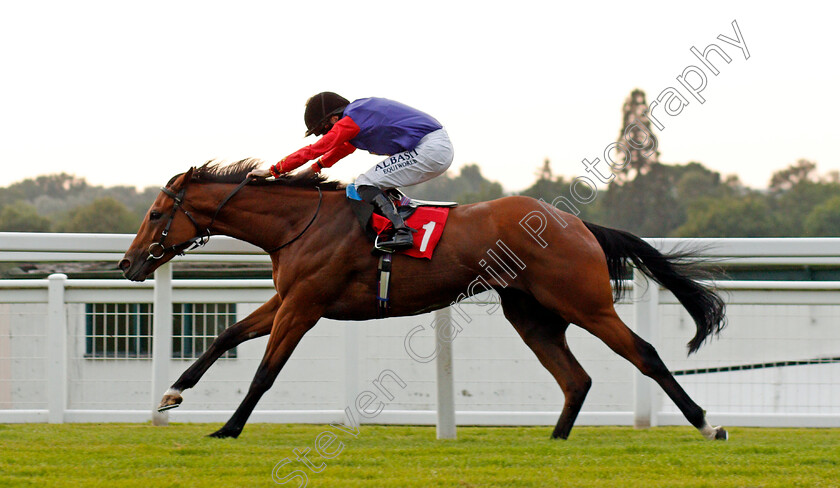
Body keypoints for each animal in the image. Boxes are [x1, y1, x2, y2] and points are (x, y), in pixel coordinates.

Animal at [118, 158, 728, 440]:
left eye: (156, 212)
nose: (127, 264)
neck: (299, 223)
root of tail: (576, 223)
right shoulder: (288, 299)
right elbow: (226, 335)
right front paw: (172, 393)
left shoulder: (304, 307)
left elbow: (265, 373)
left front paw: (228, 428)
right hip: (531, 315)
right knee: (576, 379)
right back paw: (554, 442)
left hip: (585, 304)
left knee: (644, 354)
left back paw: (706, 424)